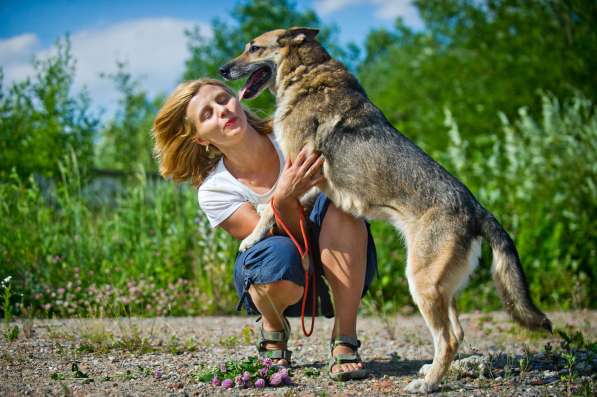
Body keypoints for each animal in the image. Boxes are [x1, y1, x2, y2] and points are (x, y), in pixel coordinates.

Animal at [219, 27, 548, 392]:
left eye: (253, 48)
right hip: (440, 287)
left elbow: (268, 209)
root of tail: (477, 208)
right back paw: (430, 372)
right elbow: (274, 206)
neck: (305, 71)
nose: (221, 70)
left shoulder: (297, 170)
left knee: (448, 339)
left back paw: (427, 384)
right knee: (457, 333)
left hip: (421, 282)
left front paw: (251, 239)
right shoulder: (308, 182)